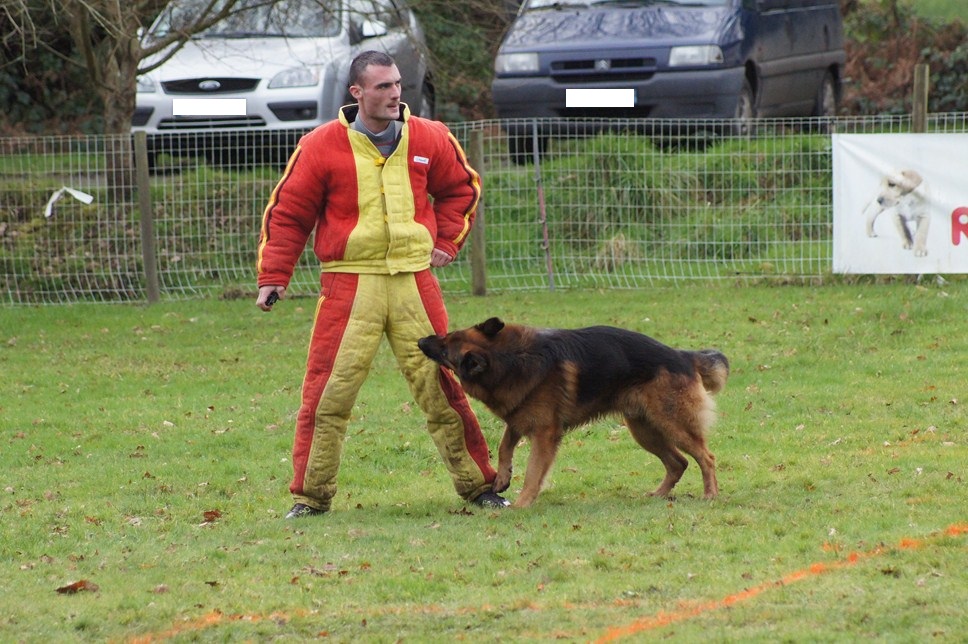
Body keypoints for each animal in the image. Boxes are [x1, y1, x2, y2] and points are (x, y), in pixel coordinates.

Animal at [420, 320, 728, 506]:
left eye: (445, 347)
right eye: (446, 336)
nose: (421, 340)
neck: (511, 359)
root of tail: (683, 355)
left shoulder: (544, 435)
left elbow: (533, 472)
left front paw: (522, 503)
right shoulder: (518, 418)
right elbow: (504, 446)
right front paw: (502, 478)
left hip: (672, 425)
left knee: (706, 457)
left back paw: (710, 494)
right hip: (644, 430)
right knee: (678, 463)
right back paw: (658, 494)